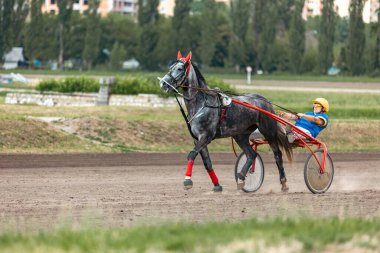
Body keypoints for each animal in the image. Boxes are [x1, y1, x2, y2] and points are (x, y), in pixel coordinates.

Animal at [157, 52, 290, 194]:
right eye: (170, 67)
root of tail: (265, 101)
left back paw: (283, 183)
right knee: (251, 154)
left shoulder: (206, 136)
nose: (163, 83)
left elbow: (192, 154)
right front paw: (217, 185)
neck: (202, 103)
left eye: (180, 69)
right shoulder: (197, 138)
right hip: (240, 135)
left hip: (268, 131)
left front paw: (187, 180)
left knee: (277, 154)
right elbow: (207, 163)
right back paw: (241, 178)